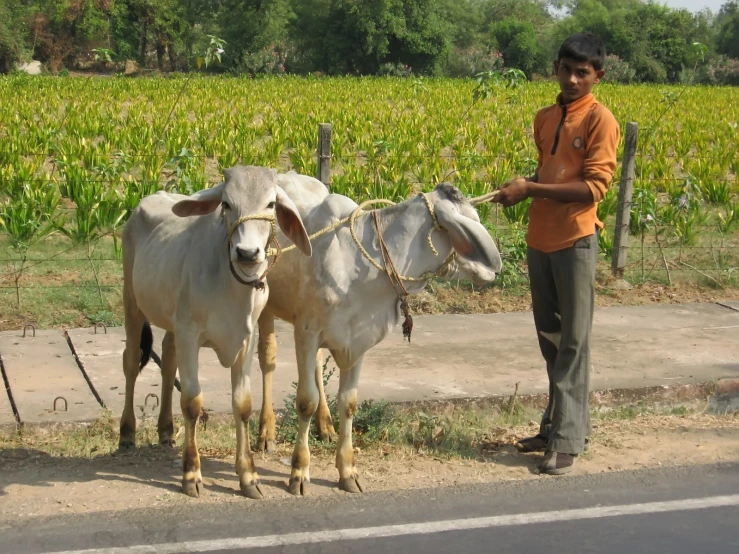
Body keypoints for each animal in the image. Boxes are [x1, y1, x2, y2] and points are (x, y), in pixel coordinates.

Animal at [118, 163, 312, 496]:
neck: (231, 288)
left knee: (168, 362)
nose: (247, 253)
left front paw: (248, 476)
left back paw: (166, 430)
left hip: (171, 322)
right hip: (132, 303)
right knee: (131, 362)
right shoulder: (190, 334)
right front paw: (191, 473)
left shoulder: (246, 339)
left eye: (270, 204)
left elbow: (243, 405)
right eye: (226, 203)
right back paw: (127, 432)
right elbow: (192, 402)